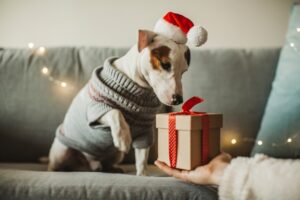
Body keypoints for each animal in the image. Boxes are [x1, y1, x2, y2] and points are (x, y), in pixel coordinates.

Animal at [48, 12, 206, 176]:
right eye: (165, 64)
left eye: (184, 71)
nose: (178, 100)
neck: (137, 87)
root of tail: (88, 165)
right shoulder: (95, 110)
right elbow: (115, 112)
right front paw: (123, 138)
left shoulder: (145, 131)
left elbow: (142, 157)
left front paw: (142, 175)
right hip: (61, 151)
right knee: (56, 165)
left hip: (116, 155)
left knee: (106, 164)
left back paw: (112, 168)